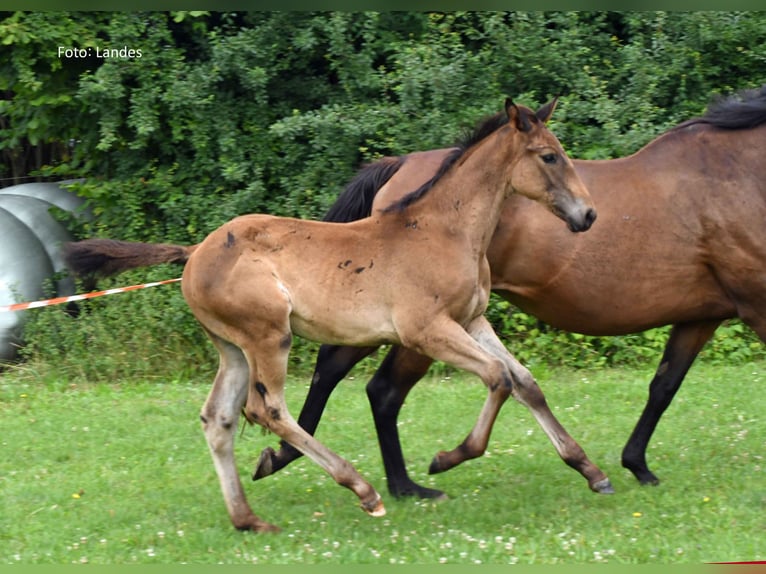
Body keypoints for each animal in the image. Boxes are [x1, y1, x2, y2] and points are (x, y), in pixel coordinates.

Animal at [62, 98, 603, 532]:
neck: (443, 229)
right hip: (268, 336)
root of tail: (195, 252)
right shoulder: (427, 331)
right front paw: (446, 459)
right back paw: (363, 491)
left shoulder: (472, 321)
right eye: (549, 155)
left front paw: (590, 471)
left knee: (219, 418)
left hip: (233, 347)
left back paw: (249, 520)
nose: (588, 215)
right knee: (266, 410)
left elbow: (525, 382)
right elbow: (497, 377)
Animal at [253, 84, 766, 499]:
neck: (738, 173)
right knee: (375, 387)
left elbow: (662, 386)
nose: (587, 215)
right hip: (411, 329)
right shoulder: (755, 306)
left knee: (354, 377)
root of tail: (398, 167)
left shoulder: (701, 315)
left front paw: (635, 466)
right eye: (549, 156)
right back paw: (391, 482)